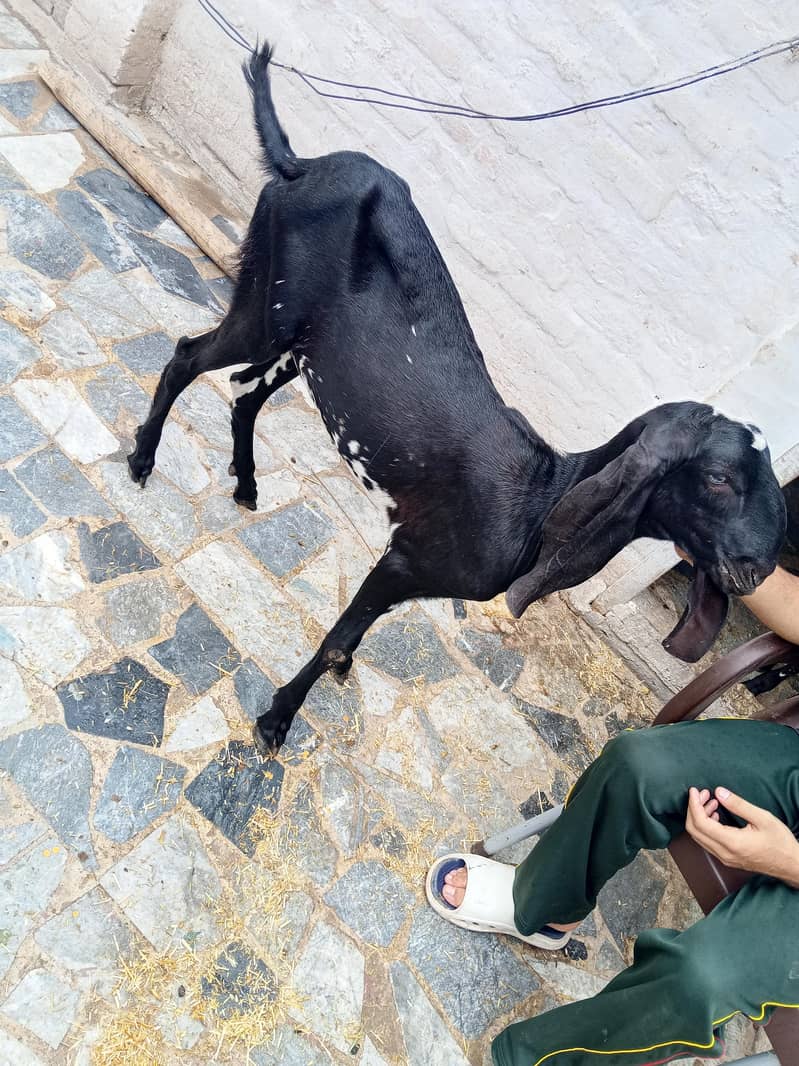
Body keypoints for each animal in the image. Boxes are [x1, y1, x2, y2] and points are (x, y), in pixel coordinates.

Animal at [128, 44, 787, 755]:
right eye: (719, 476)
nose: (758, 568)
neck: (540, 500)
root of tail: (299, 164)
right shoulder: (406, 558)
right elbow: (336, 641)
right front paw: (277, 720)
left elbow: (351, 641)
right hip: (266, 305)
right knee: (189, 355)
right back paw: (142, 461)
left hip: (306, 347)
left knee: (245, 389)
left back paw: (246, 484)